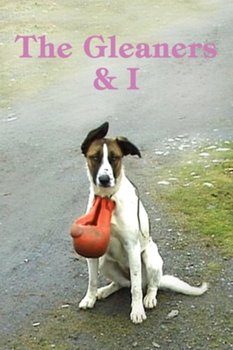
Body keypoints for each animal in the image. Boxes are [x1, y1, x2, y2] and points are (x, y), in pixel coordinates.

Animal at [78, 121, 208, 324]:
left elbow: (136, 289)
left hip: (149, 257)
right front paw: (89, 298)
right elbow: (92, 280)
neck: (108, 200)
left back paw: (149, 298)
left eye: (114, 158)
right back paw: (106, 290)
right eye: (95, 157)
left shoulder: (132, 246)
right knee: (123, 283)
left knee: (148, 285)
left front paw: (137, 310)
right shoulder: (93, 251)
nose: (104, 179)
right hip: (105, 262)